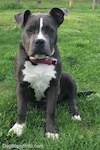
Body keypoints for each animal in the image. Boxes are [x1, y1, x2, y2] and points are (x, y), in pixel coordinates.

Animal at [8, 7, 81, 139]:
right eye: (29, 30)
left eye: (50, 30)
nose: (39, 41)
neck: (39, 61)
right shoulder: (21, 86)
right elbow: (21, 109)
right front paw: (18, 128)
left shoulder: (54, 86)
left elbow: (51, 110)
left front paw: (51, 131)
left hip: (68, 76)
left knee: (72, 99)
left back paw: (75, 114)